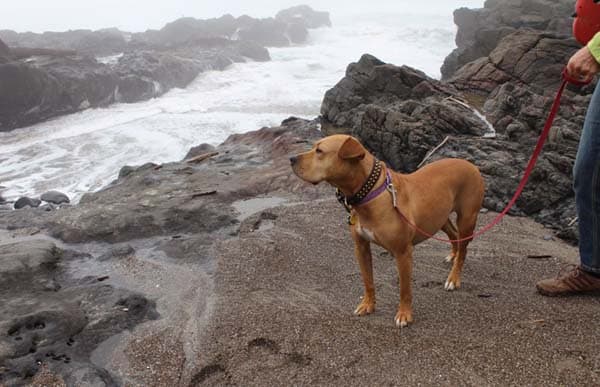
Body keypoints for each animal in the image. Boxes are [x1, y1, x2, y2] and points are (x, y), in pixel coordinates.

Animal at [290, 135, 482, 328]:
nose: (291, 159)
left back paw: (454, 277)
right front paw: (367, 304)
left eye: (319, 151)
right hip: (438, 216)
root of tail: (469, 164)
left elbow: (404, 288)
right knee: (454, 235)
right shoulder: (361, 248)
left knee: (464, 248)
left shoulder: (403, 252)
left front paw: (404, 314)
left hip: (467, 218)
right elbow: (368, 280)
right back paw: (453, 256)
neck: (369, 193)